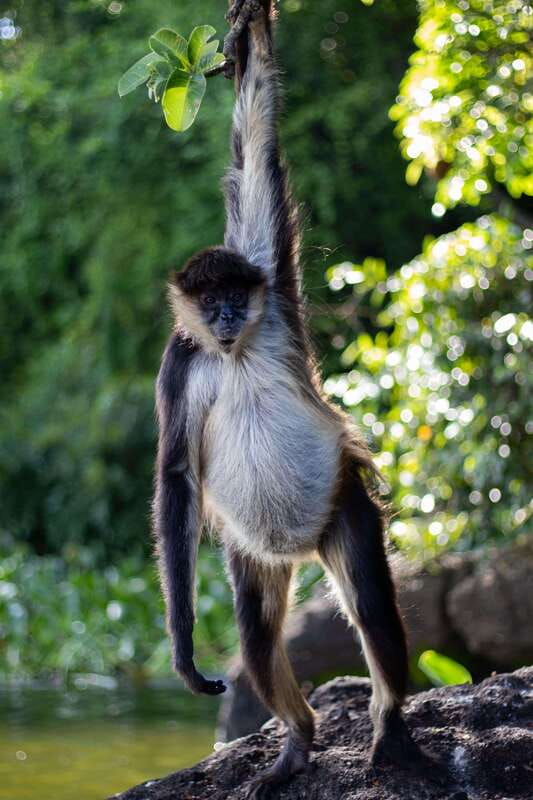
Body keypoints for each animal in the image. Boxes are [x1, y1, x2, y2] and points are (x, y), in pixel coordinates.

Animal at [152, 0, 416, 796]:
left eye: (237, 297)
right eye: (209, 301)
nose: (225, 316)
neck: (233, 354)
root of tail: (297, 543)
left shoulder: (267, 280)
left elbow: (255, 138)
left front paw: (250, 31)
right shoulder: (180, 363)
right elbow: (177, 476)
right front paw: (182, 648)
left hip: (338, 505)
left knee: (370, 605)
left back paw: (389, 726)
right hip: (255, 549)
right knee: (256, 632)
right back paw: (298, 741)